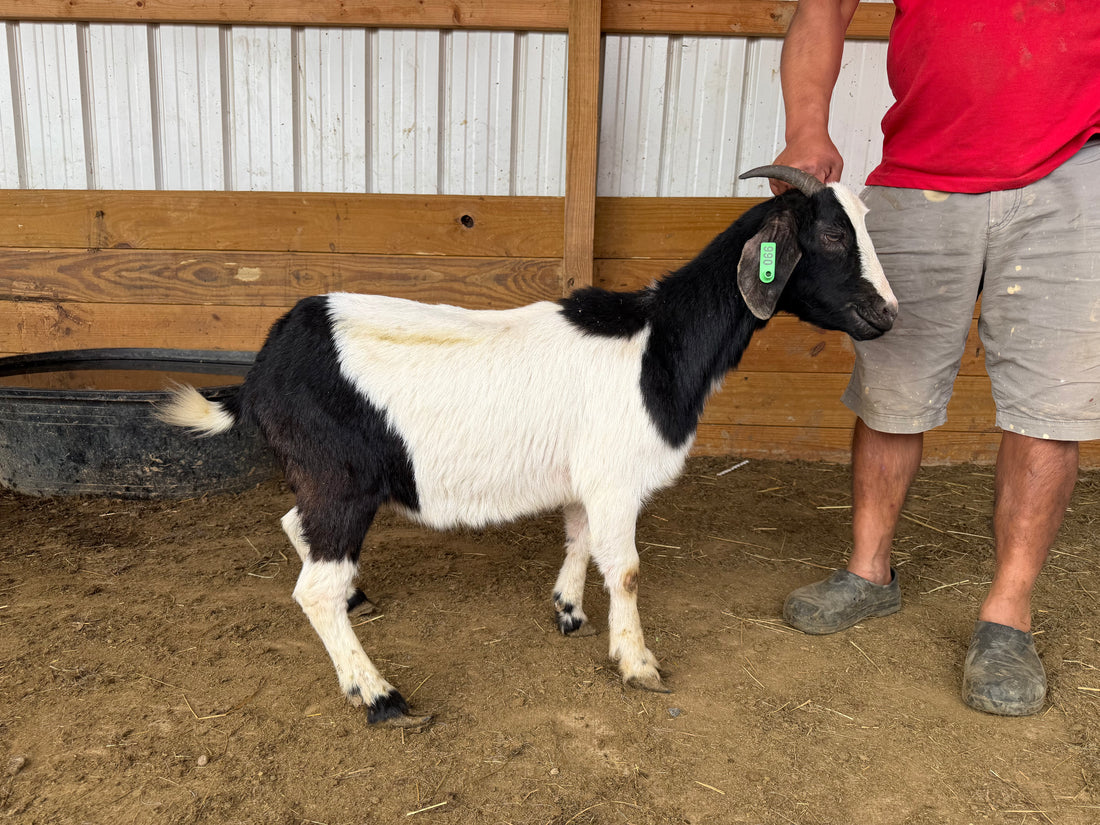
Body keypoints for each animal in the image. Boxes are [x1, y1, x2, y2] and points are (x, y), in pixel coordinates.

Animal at [157, 166, 898, 727]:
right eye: (832, 234)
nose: (887, 314)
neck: (657, 341)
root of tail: (264, 365)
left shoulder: (585, 477)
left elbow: (578, 539)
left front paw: (568, 610)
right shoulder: (615, 478)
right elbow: (626, 569)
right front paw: (638, 663)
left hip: (322, 482)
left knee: (298, 530)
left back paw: (359, 600)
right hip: (338, 480)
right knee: (314, 589)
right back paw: (378, 694)